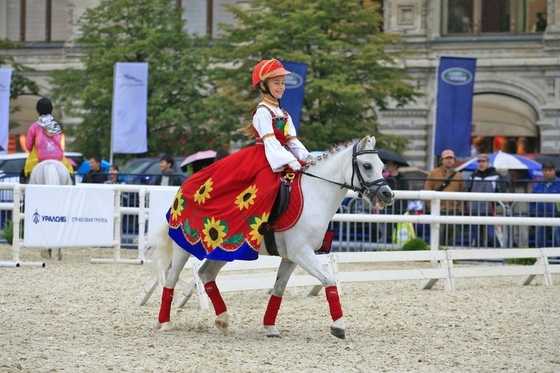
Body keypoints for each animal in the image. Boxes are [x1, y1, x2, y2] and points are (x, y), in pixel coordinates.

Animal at [149, 136, 394, 338]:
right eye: (367, 165)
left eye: (382, 167)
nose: (387, 195)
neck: (315, 194)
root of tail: (184, 186)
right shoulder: (302, 253)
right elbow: (329, 281)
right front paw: (339, 326)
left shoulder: (291, 257)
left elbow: (278, 289)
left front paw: (270, 327)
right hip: (185, 247)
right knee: (171, 278)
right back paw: (165, 323)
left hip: (223, 250)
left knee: (206, 274)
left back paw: (222, 320)